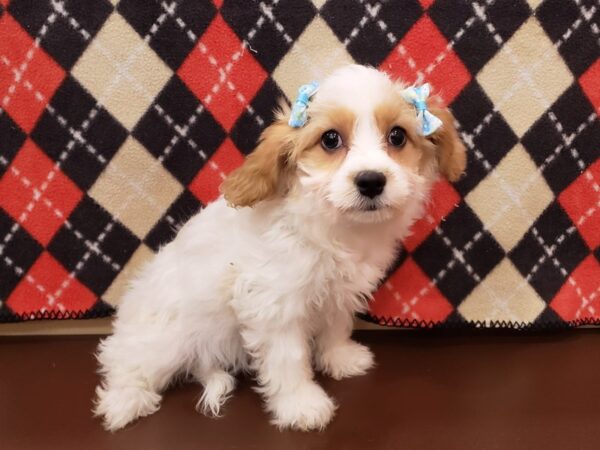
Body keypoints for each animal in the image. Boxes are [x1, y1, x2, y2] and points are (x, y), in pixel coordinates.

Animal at [96, 64, 466, 432]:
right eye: (330, 139)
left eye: (397, 136)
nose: (371, 180)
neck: (333, 228)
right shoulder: (274, 305)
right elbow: (288, 358)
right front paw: (301, 404)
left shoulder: (339, 293)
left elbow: (336, 326)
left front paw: (340, 358)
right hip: (163, 337)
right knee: (122, 358)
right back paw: (123, 402)